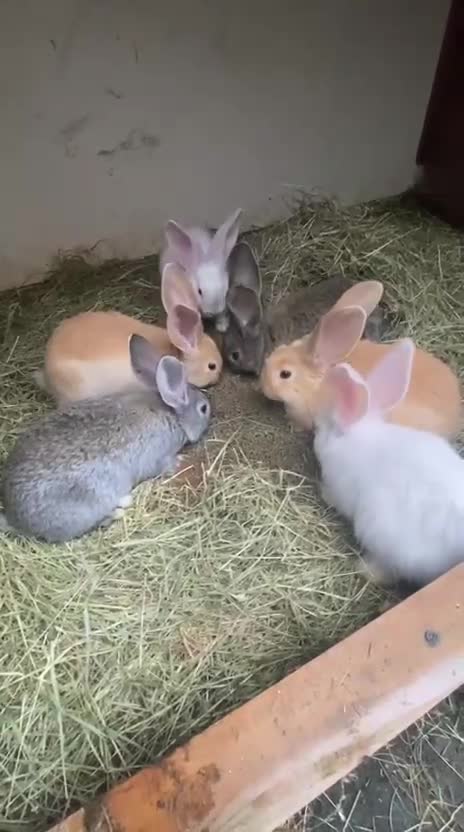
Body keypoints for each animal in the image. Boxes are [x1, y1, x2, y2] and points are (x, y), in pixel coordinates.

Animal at [1, 334, 211, 543]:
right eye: (203, 409)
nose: (211, 411)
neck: (172, 414)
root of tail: (16, 518)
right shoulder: (157, 456)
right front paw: (179, 460)